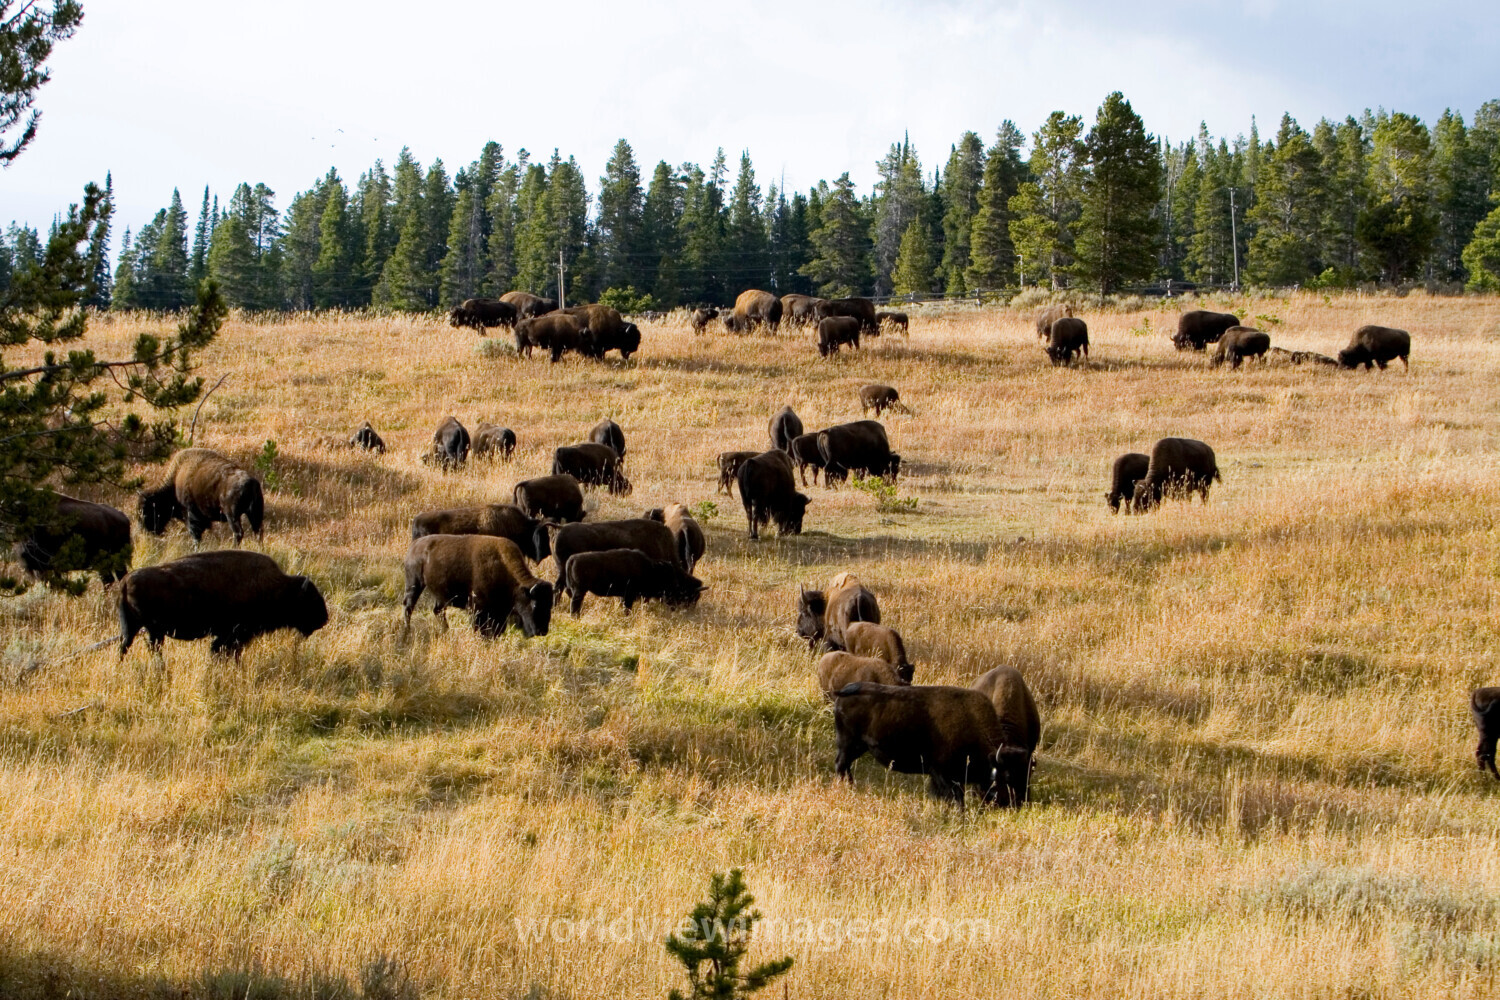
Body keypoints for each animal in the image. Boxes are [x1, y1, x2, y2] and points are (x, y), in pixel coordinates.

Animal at [118, 551, 327, 658]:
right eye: (310, 600)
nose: (324, 619)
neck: (277, 587)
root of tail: (126, 580)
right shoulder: (233, 636)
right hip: (154, 631)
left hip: (133, 628)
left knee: (124, 647)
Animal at [403, 534, 552, 637]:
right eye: (535, 604)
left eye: (549, 605)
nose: (542, 630)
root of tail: (414, 545)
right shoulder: (477, 608)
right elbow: (480, 628)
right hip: (414, 584)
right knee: (408, 607)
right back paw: (407, 631)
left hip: (441, 595)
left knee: (437, 611)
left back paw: (446, 631)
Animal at [561, 548, 705, 616]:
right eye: (668, 580)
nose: (675, 606)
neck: (650, 569)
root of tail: (572, 559)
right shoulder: (628, 596)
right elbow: (627, 608)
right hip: (579, 591)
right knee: (575, 605)